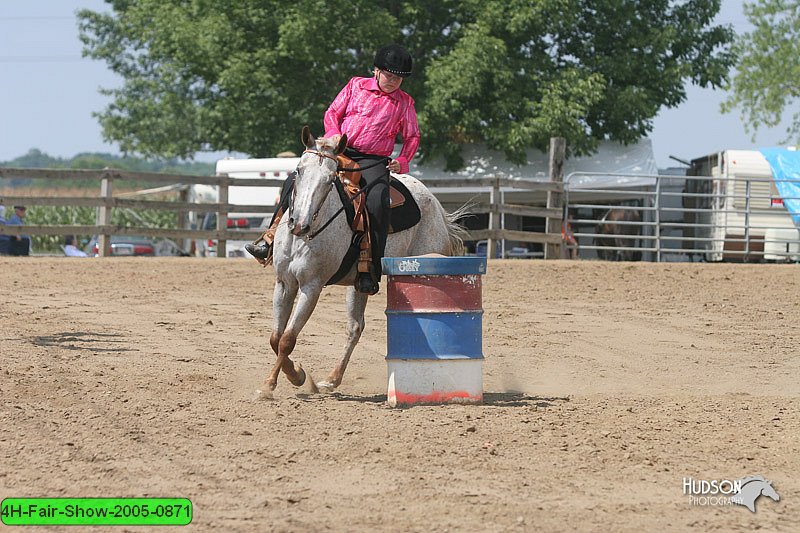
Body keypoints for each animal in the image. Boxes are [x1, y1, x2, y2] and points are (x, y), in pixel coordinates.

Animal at [256, 127, 468, 396]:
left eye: (329, 180)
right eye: (299, 170)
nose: (300, 223)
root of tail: (437, 207)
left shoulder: (311, 286)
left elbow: (287, 339)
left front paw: (287, 379)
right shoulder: (284, 283)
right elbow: (275, 338)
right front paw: (286, 376)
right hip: (357, 284)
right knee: (355, 327)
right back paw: (332, 379)